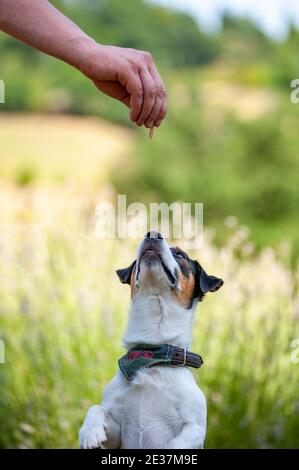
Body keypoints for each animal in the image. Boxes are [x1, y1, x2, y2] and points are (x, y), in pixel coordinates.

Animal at [78, 233, 224, 450]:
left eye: (180, 254)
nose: (153, 234)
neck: (153, 354)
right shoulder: (116, 434)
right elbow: (96, 408)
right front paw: (89, 432)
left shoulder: (195, 429)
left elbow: (175, 445)